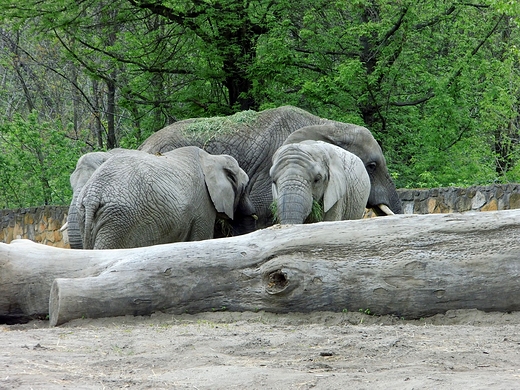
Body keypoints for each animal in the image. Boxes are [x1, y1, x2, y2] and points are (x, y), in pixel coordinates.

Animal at [77, 146, 254, 250]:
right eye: (245, 188)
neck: (212, 158)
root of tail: (93, 194)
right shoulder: (203, 205)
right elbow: (201, 238)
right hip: (119, 220)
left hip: (88, 217)